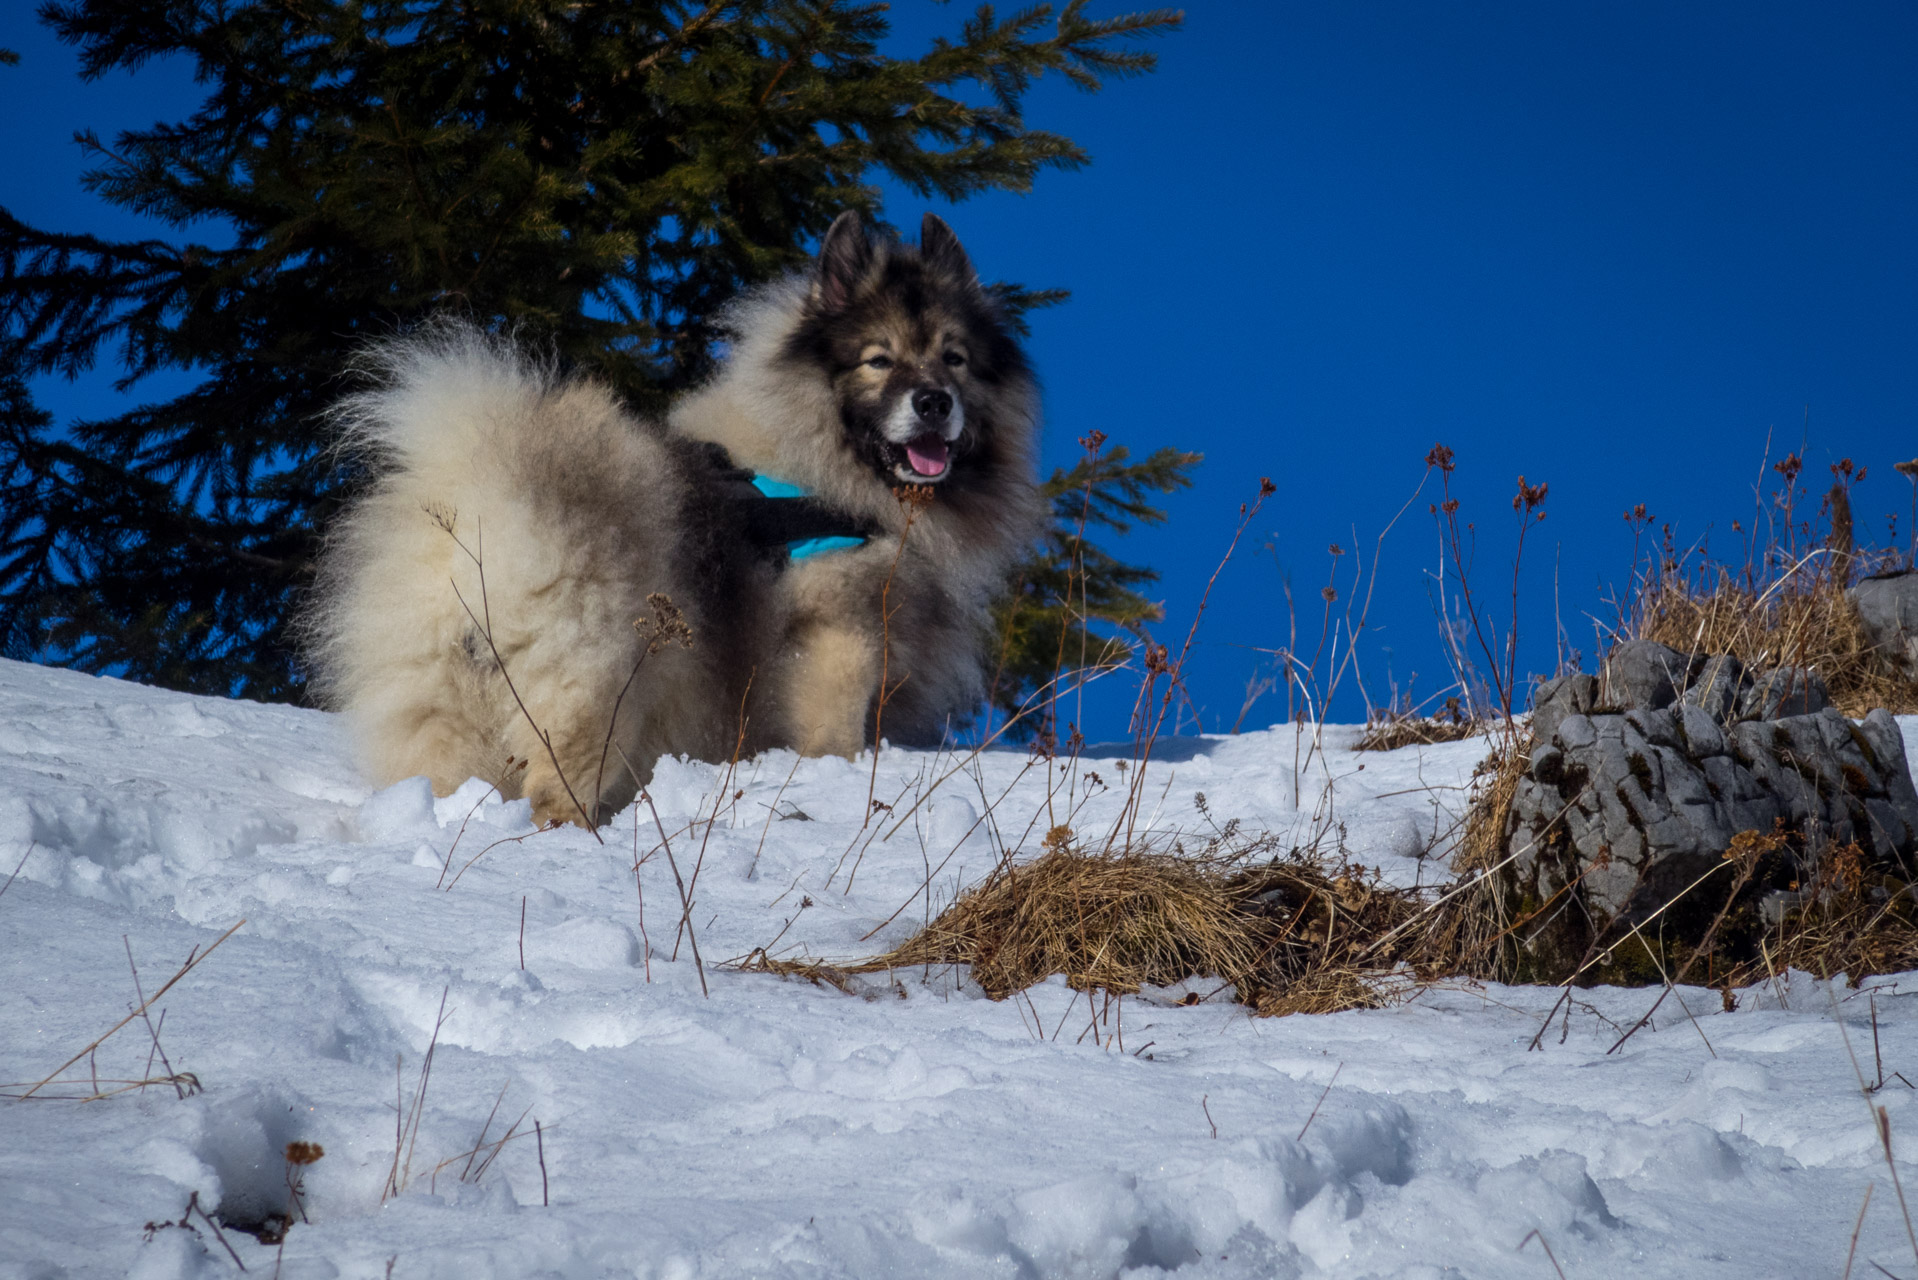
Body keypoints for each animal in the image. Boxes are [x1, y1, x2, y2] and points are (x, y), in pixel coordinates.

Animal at [304, 213, 1043, 825]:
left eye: (955, 358)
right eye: (878, 360)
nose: (934, 402)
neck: (820, 463)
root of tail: (479, 500)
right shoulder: (839, 640)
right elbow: (834, 739)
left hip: (445, 712)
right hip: (592, 696)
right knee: (555, 797)